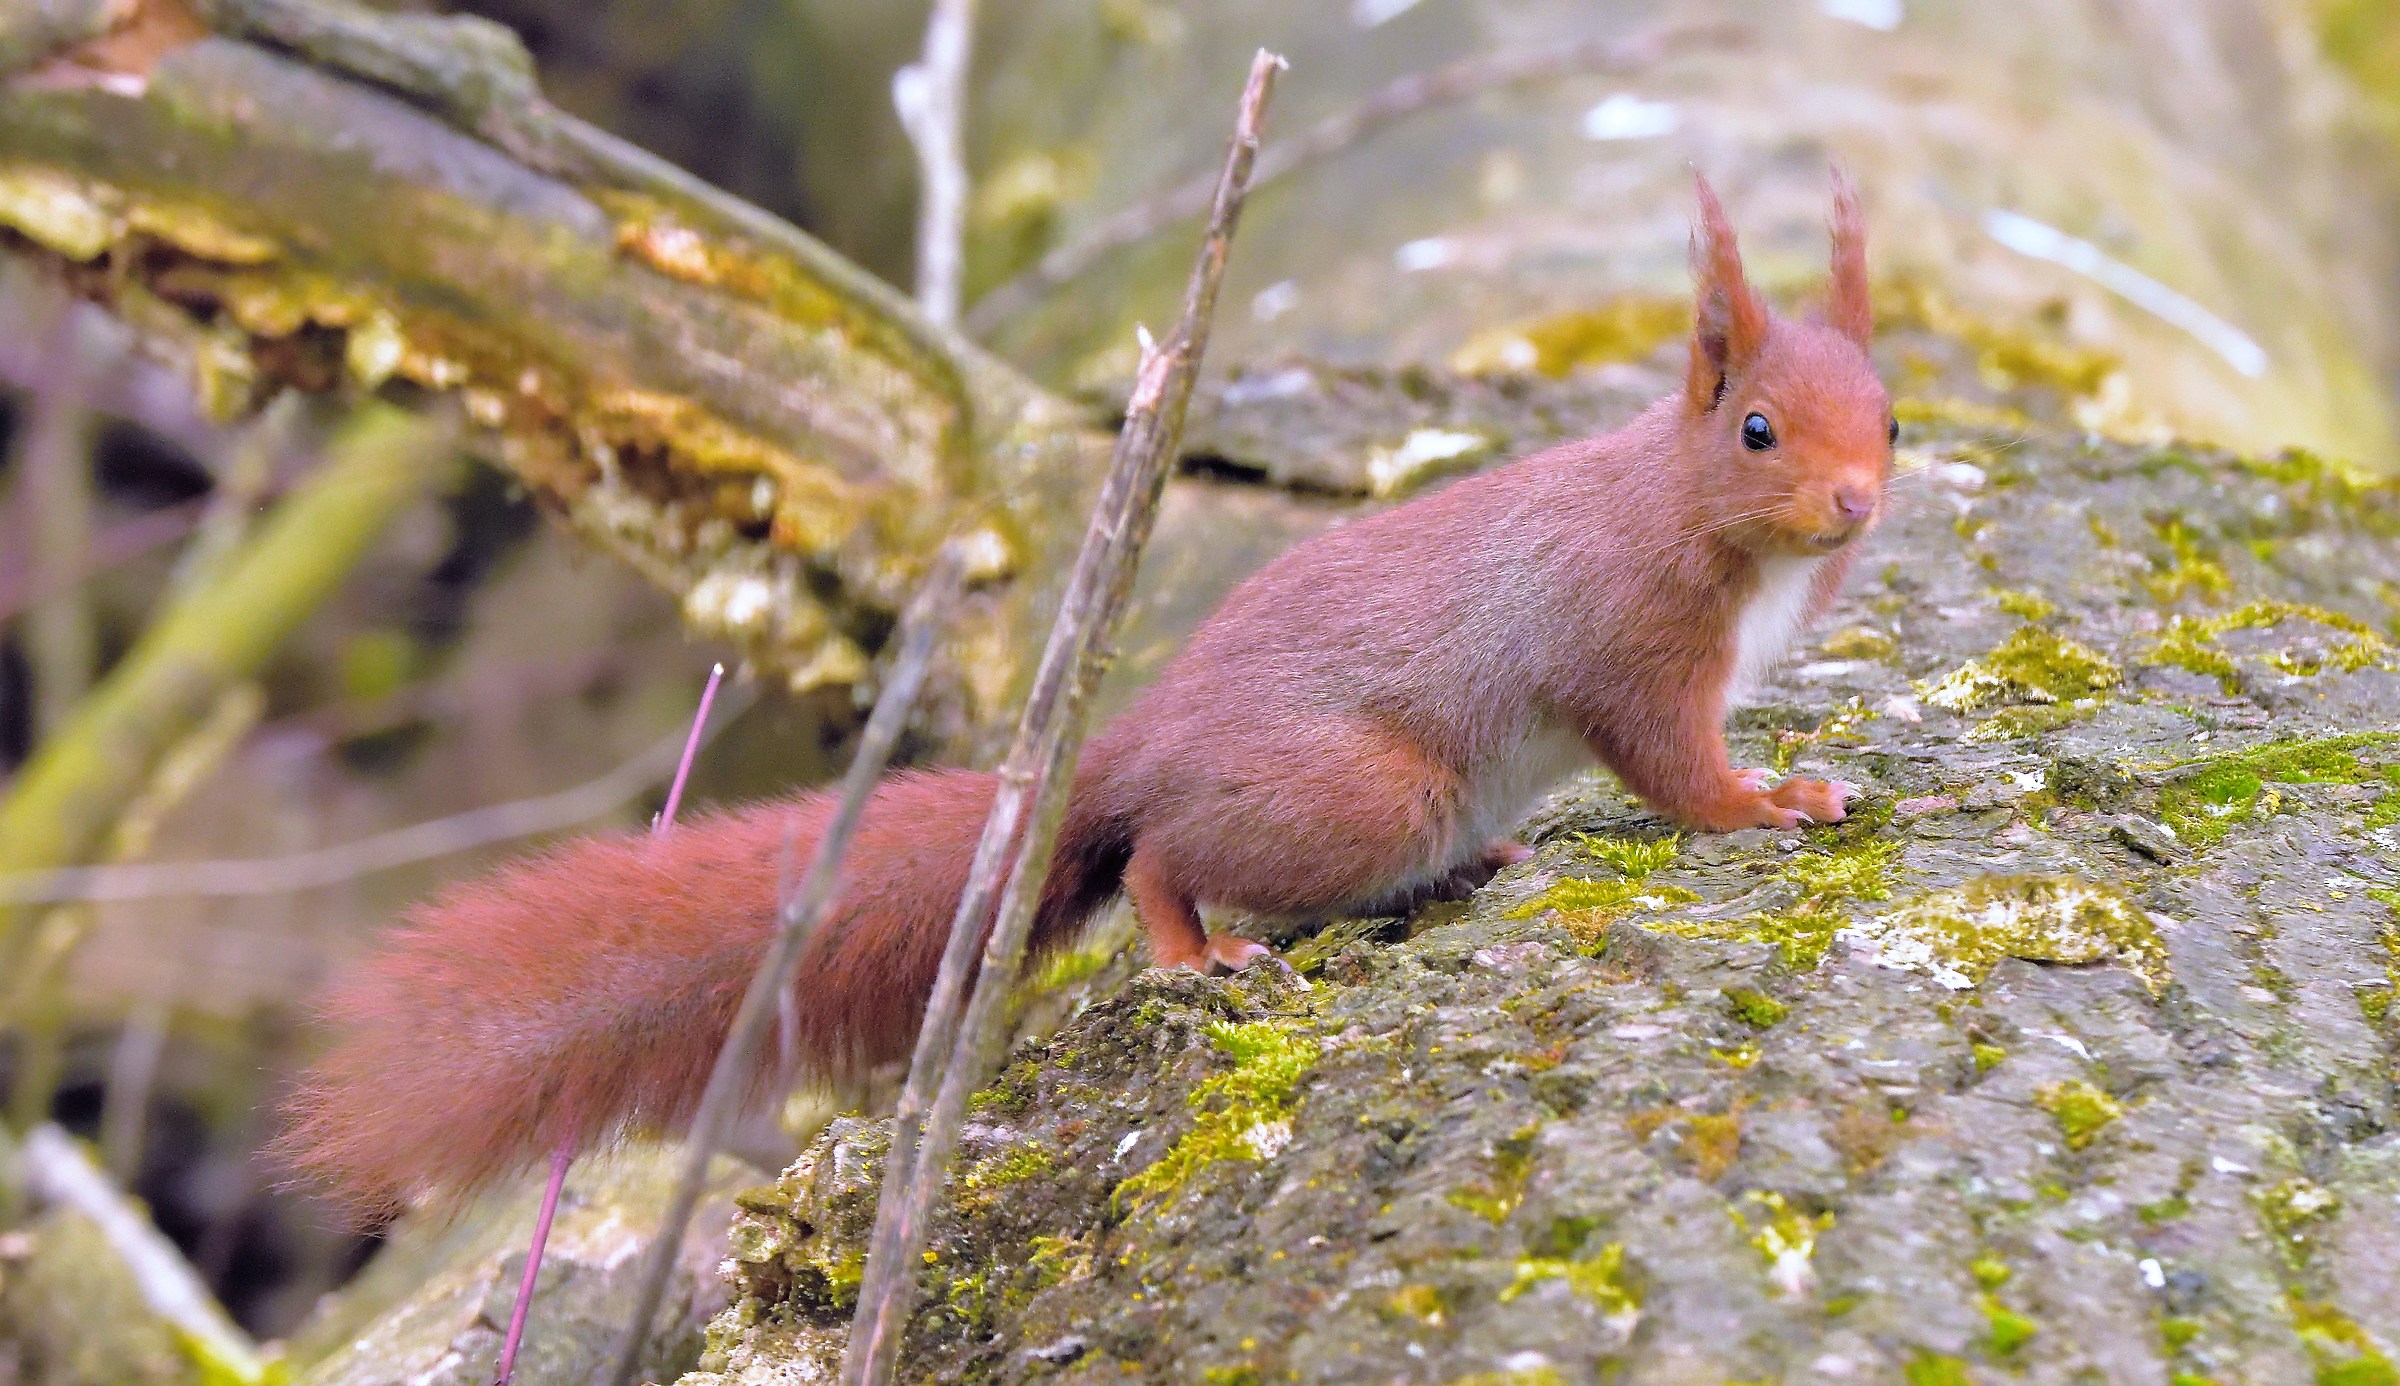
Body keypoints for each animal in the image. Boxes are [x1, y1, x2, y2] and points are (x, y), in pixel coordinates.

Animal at [279, 173, 1892, 1220]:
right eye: (1756, 429)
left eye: (1888, 411)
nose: (1861, 501)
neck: (1708, 528)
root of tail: (1133, 750)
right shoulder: (1628, 644)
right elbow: (1675, 764)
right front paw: (1773, 801)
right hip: (1360, 791)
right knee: (1163, 858)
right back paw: (1203, 951)